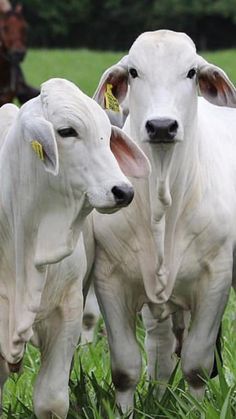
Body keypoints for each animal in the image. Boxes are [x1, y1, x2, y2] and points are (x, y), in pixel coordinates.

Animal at [92, 30, 236, 414]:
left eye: (191, 72)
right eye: (134, 71)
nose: (161, 126)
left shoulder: (216, 279)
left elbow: (197, 365)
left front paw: (198, 411)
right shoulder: (110, 279)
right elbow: (126, 368)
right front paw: (125, 413)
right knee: (160, 349)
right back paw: (157, 397)